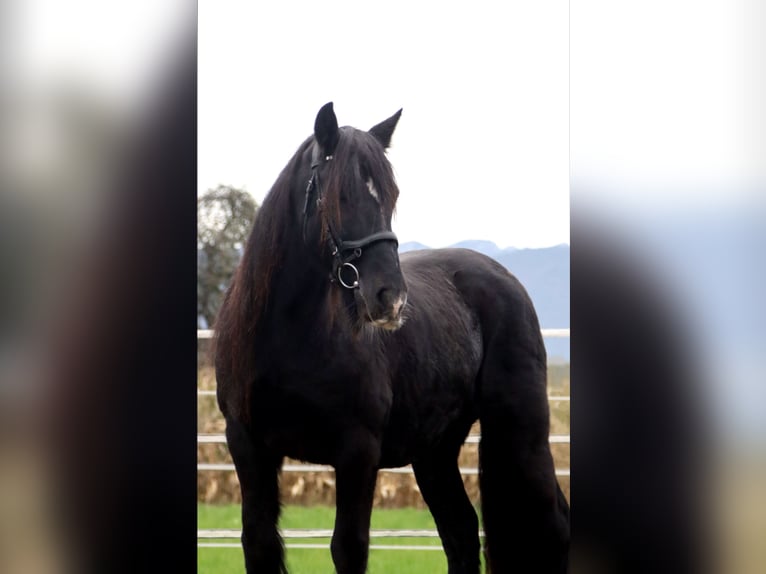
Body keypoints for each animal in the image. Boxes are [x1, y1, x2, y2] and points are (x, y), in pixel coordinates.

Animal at [216, 104, 568, 574]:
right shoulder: (248, 448)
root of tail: (502, 277)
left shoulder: (357, 452)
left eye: (391, 194)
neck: (289, 339)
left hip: (521, 433)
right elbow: (259, 544)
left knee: (550, 522)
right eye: (340, 194)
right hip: (435, 450)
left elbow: (348, 548)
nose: (391, 298)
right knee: (460, 532)